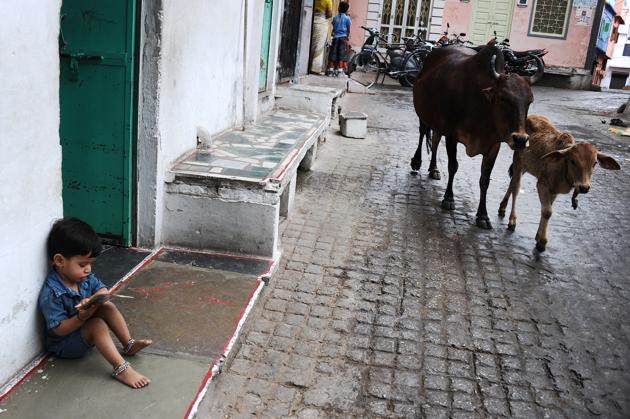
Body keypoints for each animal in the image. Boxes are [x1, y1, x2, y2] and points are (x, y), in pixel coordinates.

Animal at [414, 45, 544, 230]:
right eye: (503, 98)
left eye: (530, 101)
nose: (520, 140)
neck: (482, 106)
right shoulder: (452, 136)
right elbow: (453, 167)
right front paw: (448, 198)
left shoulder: (493, 146)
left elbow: (485, 180)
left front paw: (483, 215)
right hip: (424, 115)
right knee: (422, 133)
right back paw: (416, 162)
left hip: (438, 124)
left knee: (436, 139)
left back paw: (433, 169)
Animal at [502, 115, 624, 251]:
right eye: (573, 161)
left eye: (595, 163)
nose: (584, 187)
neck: (562, 167)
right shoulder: (542, 185)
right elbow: (547, 211)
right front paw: (542, 241)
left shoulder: (554, 191)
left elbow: (546, 210)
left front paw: (538, 236)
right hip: (518, 162)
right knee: (516, 188)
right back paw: (512, 220)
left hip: (525, 167)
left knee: (512, 183)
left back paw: (502, 207)